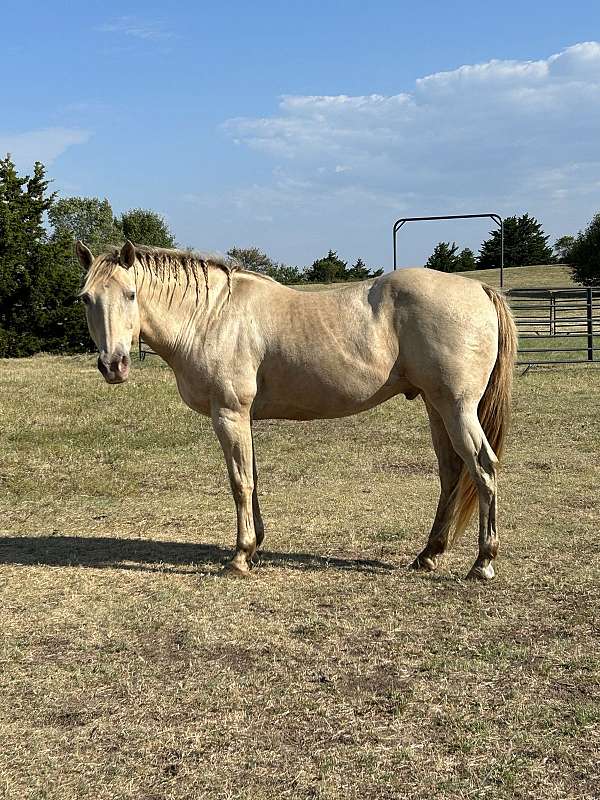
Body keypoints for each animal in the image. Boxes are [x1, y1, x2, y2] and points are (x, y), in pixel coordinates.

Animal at [76, 241, 516, 580]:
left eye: (131, 294)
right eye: (86, 298)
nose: (113, 365)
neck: (212, 317)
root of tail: (479, 289)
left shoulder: (229, 414)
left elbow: (240, 483)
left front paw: (239, 558)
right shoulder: (244, 418)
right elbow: (252, 480)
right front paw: (254, 547)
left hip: (456, 408)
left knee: (483, 467)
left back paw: (482, 563)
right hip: (435, 406)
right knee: (451, 472)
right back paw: (429, 554)